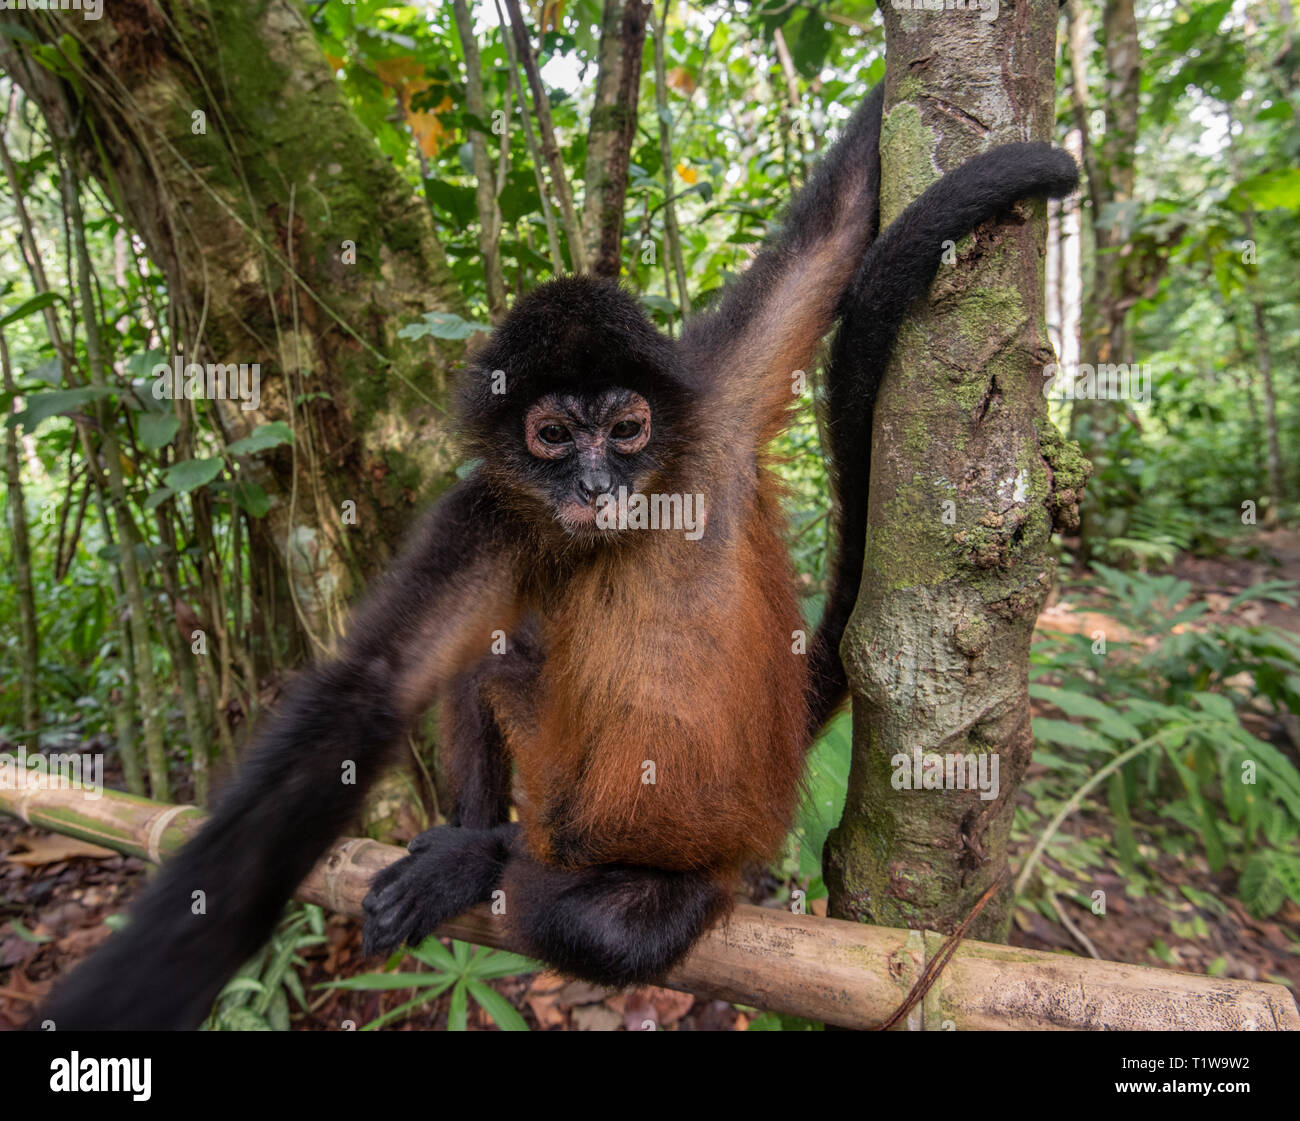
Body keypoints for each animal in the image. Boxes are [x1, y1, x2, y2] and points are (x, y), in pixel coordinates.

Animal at [39, 85, 1077, 1029]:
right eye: (550, 436)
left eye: (623, 429)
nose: (593, 482)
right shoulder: (489, 511)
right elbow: (374, 684)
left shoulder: (713, 402)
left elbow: (832, 231)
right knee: (487, 666)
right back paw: (482, 842)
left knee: (602, 923)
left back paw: (494, 858)